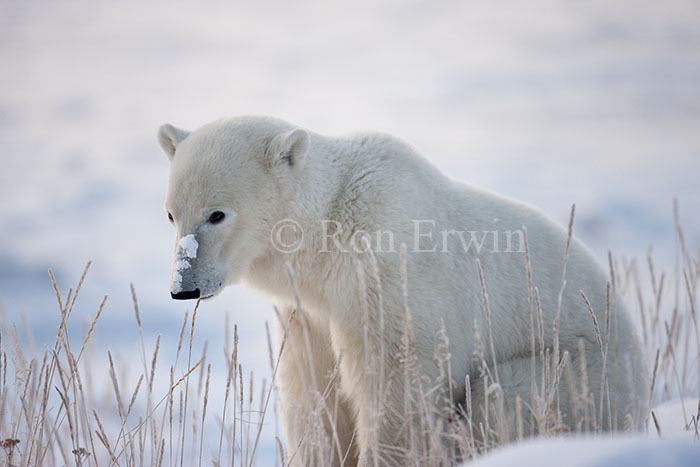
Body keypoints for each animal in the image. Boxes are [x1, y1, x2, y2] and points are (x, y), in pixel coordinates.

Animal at [158, 116, 648, 466]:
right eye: (171, 214)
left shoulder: (387, 275)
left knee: (501, 400)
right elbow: (314, 392)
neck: (328, 229)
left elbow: (395, 383)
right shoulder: (309, 310)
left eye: (217, 214)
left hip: (579, 371)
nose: (184, 288)